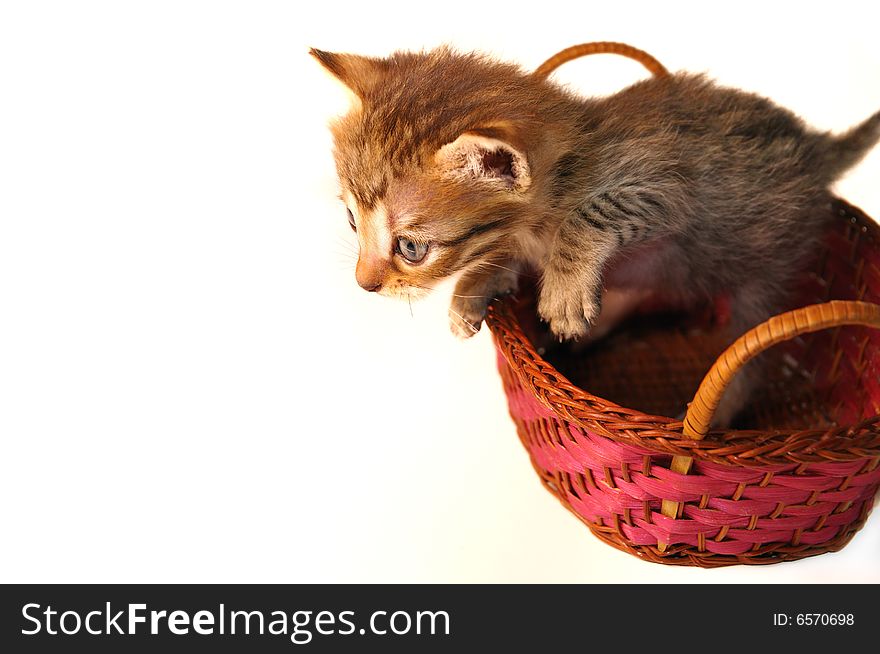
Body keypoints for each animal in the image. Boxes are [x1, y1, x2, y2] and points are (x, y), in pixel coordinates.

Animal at [312, 44, 876, 426]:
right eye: (352, 222)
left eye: (411, 248)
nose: (364, 283)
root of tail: (815, 147)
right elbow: (504, 253)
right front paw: (472, 291)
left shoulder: (664, 184)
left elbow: (592, 214)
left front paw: (561, 294)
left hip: (763, 277)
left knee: (747, 356)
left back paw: (715, 415)